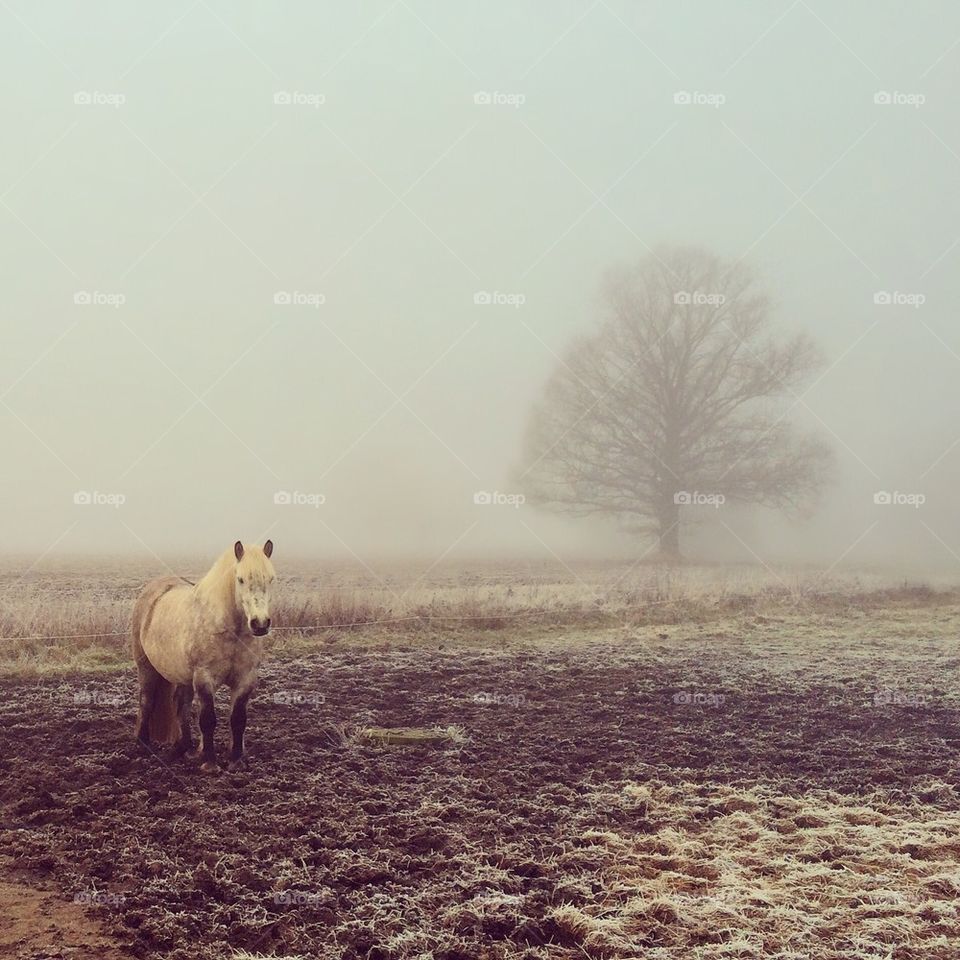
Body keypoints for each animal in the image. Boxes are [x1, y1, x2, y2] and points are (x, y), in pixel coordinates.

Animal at [131, 540, 276, 772]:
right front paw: (210, 763)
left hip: (182, 675)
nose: (260, 623)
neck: (228, 630)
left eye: (271, 579)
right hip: (146, 668)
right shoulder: (204, 678)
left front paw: (236, 761)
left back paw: (184, 748)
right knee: (147, 701)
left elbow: (238, 719)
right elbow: (208, 719)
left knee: (180, 705)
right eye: (240, 579)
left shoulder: (245, 679)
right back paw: (144, 746)